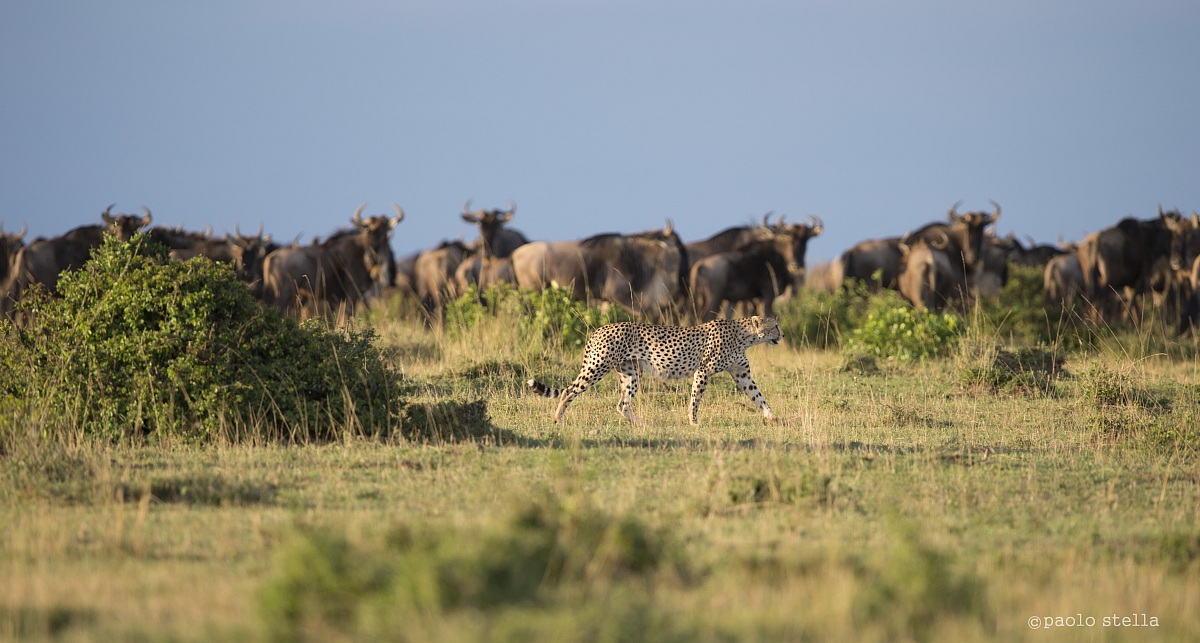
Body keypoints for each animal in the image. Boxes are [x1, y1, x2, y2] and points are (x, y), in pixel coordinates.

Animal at [527, 316, 782, 426]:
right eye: (776, 326)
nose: (782, 334)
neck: (745, 336)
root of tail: (599, 328)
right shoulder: (703, 371)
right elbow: (695, 399)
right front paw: (693, 421)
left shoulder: (742, 374)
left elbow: (759, 397)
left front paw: (775, 418)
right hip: (598, 367)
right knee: (568, 390)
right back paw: (557, 418)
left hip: (630, 373)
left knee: (622, 404)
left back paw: (642, 425)